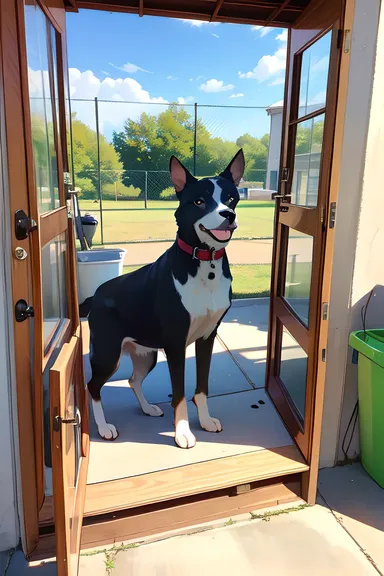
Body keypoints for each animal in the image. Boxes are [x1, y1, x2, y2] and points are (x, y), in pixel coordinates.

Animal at [85, 151, 244, 448]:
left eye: (230, 197)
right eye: (199, 201)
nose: (228, 215)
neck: (204, 261)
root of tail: (95, 295)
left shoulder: (207, 337)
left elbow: (201, 387)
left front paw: (204, 421)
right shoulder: (175, 345)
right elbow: (179, 393)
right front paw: (183, 432)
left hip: (145, 353)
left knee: (134, 380)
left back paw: (147, 408)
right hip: (108, 353)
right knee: (93, 386)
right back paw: (104, 427)